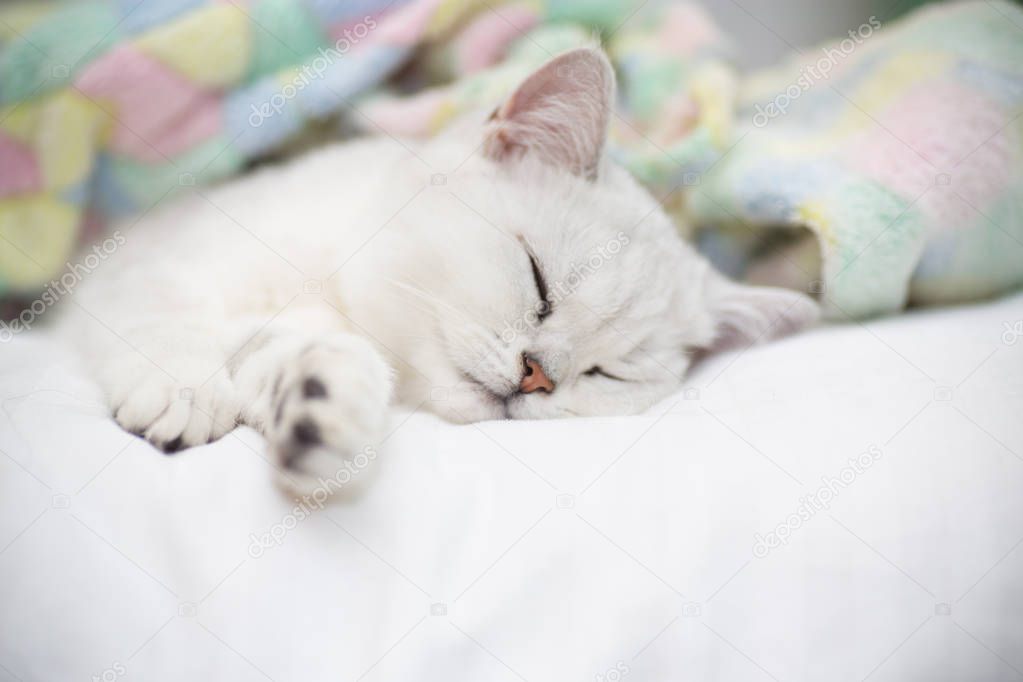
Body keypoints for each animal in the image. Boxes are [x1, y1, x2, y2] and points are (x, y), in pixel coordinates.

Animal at [59, 46, 818, 484]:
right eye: (540, 283)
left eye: (610, 373)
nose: (538, 377)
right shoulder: (137, 266)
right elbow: (164, 318)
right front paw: (183, 390)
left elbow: (320, 366)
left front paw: (325, 412)